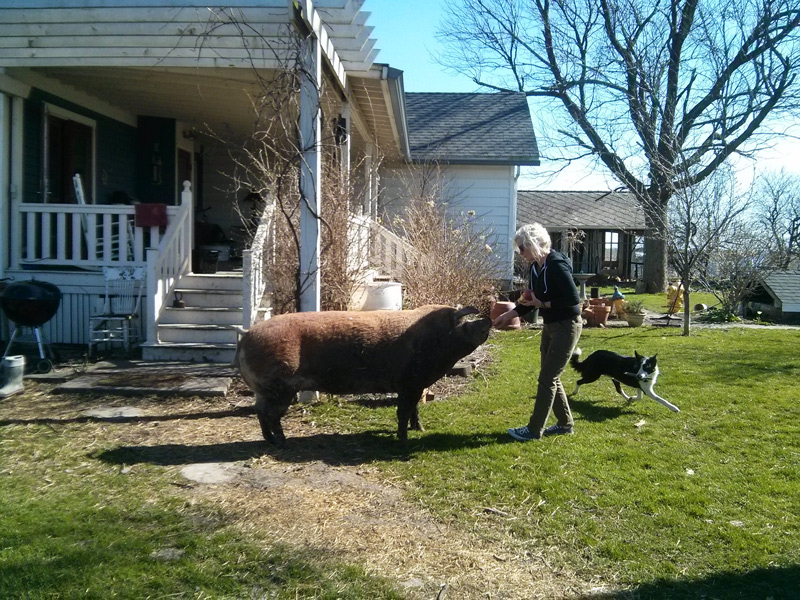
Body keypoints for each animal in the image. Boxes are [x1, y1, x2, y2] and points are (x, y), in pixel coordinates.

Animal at [235, 305, 492, 444]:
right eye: (466, 322)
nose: (488, 318)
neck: (437, 340)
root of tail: (246, 336)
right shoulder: (409, 383)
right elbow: (402, 412)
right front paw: (403, 439)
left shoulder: (415, 385)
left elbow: (414, 410)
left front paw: (420, 430)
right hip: (279, 387)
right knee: (271, 415)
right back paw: (282, 442)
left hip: (263, 390)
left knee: (260, 412)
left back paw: (271, 440)